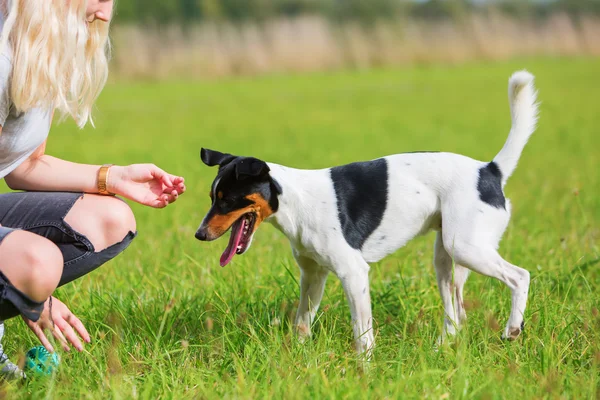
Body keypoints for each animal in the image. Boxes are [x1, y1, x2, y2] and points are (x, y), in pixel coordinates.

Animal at [196, 70, 540, 354]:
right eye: (213, 197)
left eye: (227, 200)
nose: (199, 234)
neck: (296, 201)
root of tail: (490, 170)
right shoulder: (313, 275)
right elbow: (302, 323)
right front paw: (297, 357)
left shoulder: (354, 272)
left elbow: (363, 334)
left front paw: (364, 368)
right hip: (447, 260)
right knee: (455, 315)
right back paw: (440, 349)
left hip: (466, 249)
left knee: (520, 276)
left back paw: (512, 329)